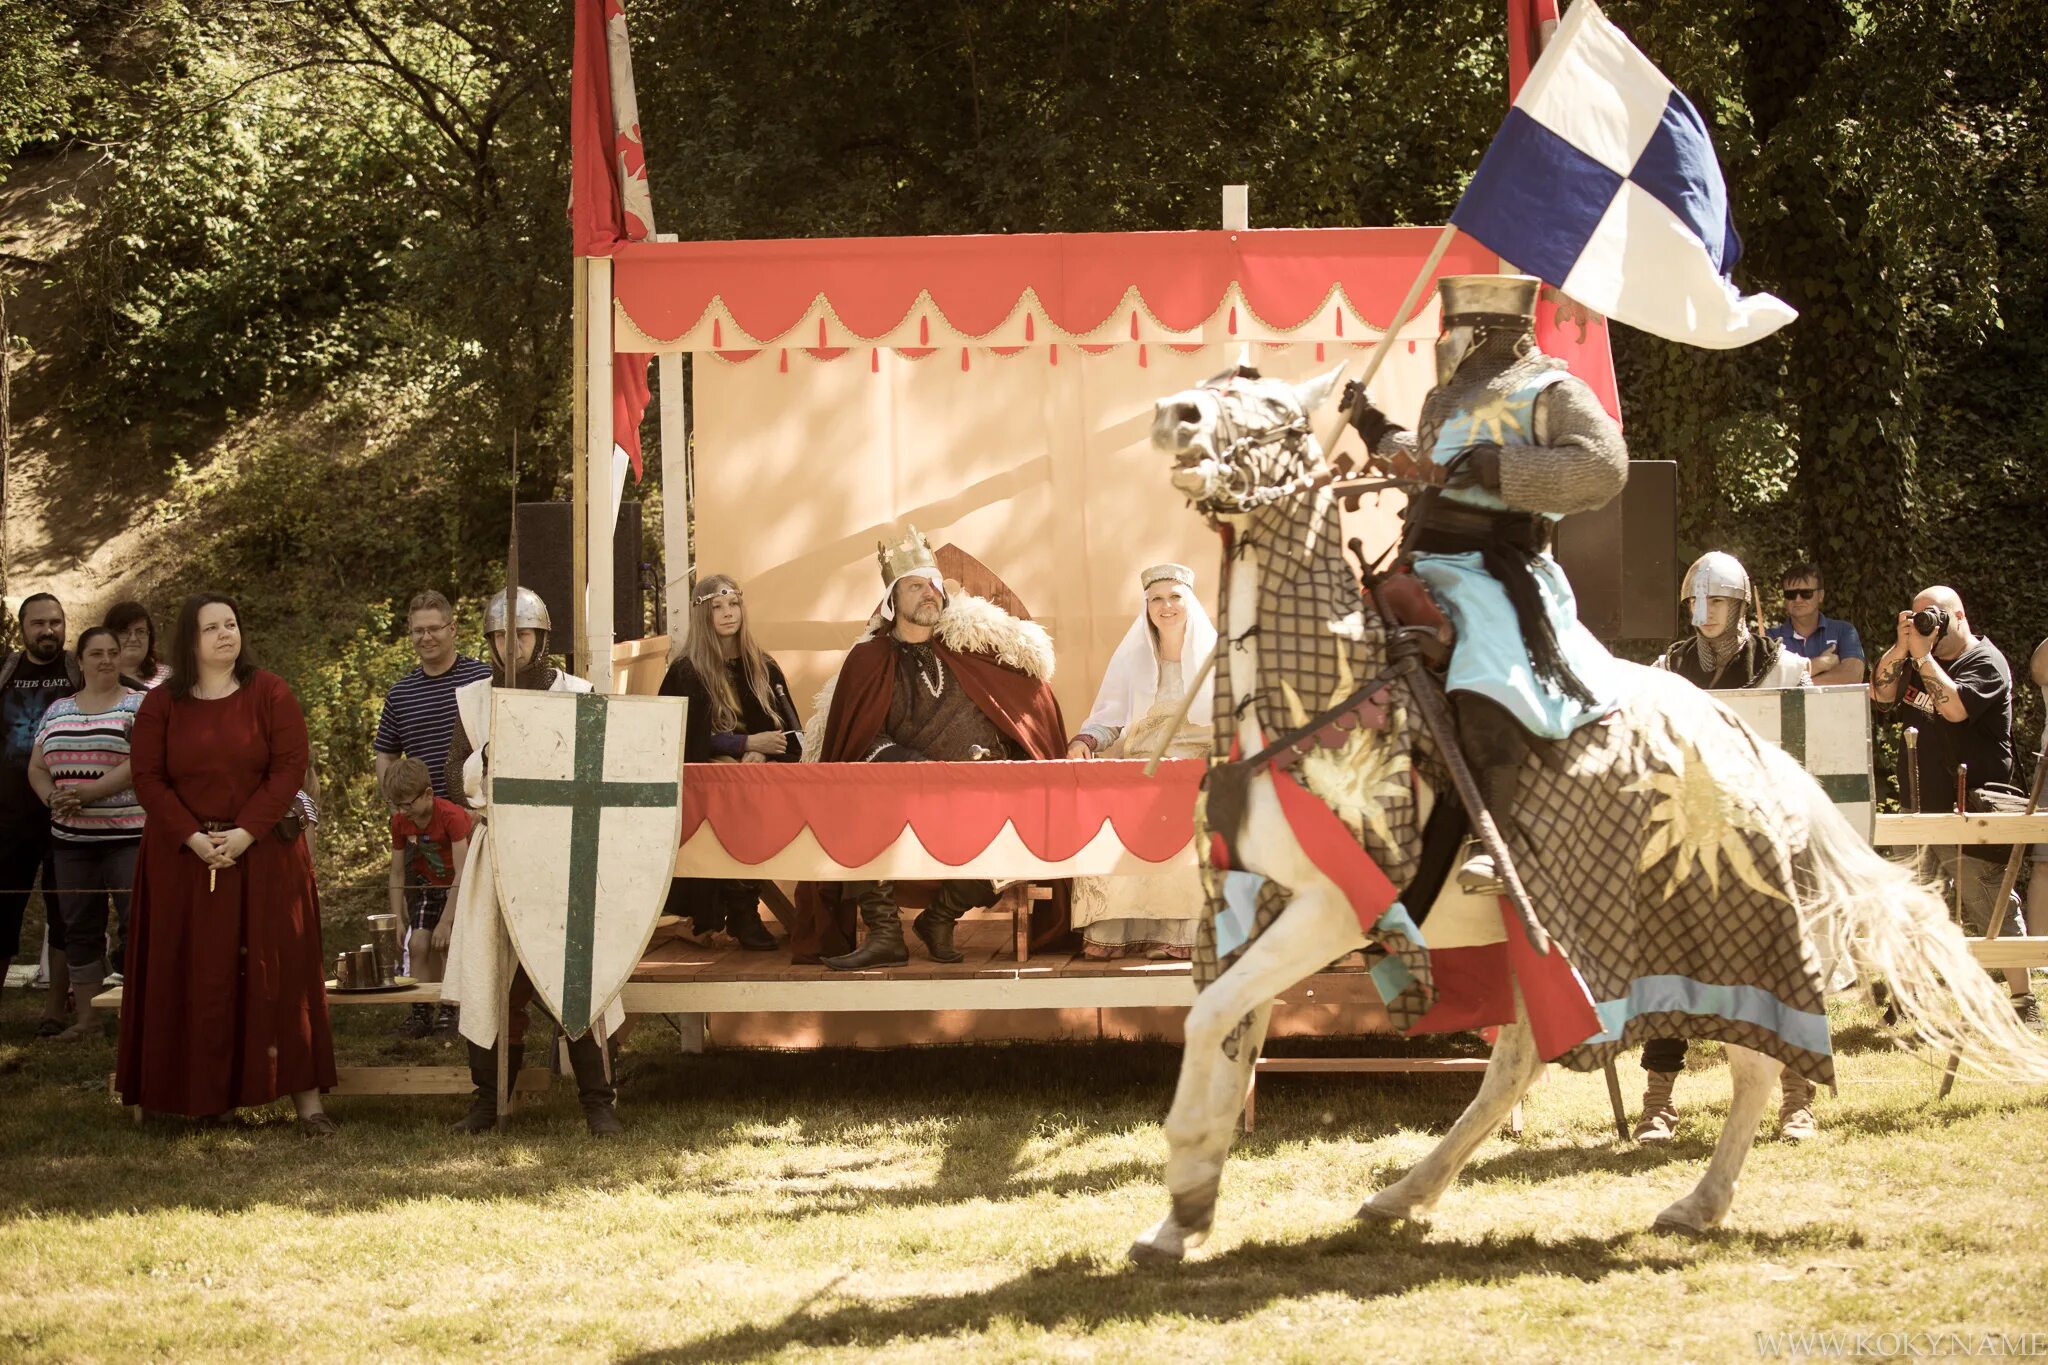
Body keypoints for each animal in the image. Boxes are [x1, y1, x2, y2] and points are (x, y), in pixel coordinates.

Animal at [1130, 362, 2048, 1260]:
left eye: (1271, 404)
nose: (1175, 416)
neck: (1323, 684)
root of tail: (1763, 754)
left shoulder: (1338, 904)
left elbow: (1209, 1018)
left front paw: (1185, 1187)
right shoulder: (1252, 900)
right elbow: (1230, 1033)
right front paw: (1185, 1208)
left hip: (1722, 929)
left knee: (1750, 1065)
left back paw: (1698, 1203)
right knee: (1518, 1062)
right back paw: (1405, 1193)